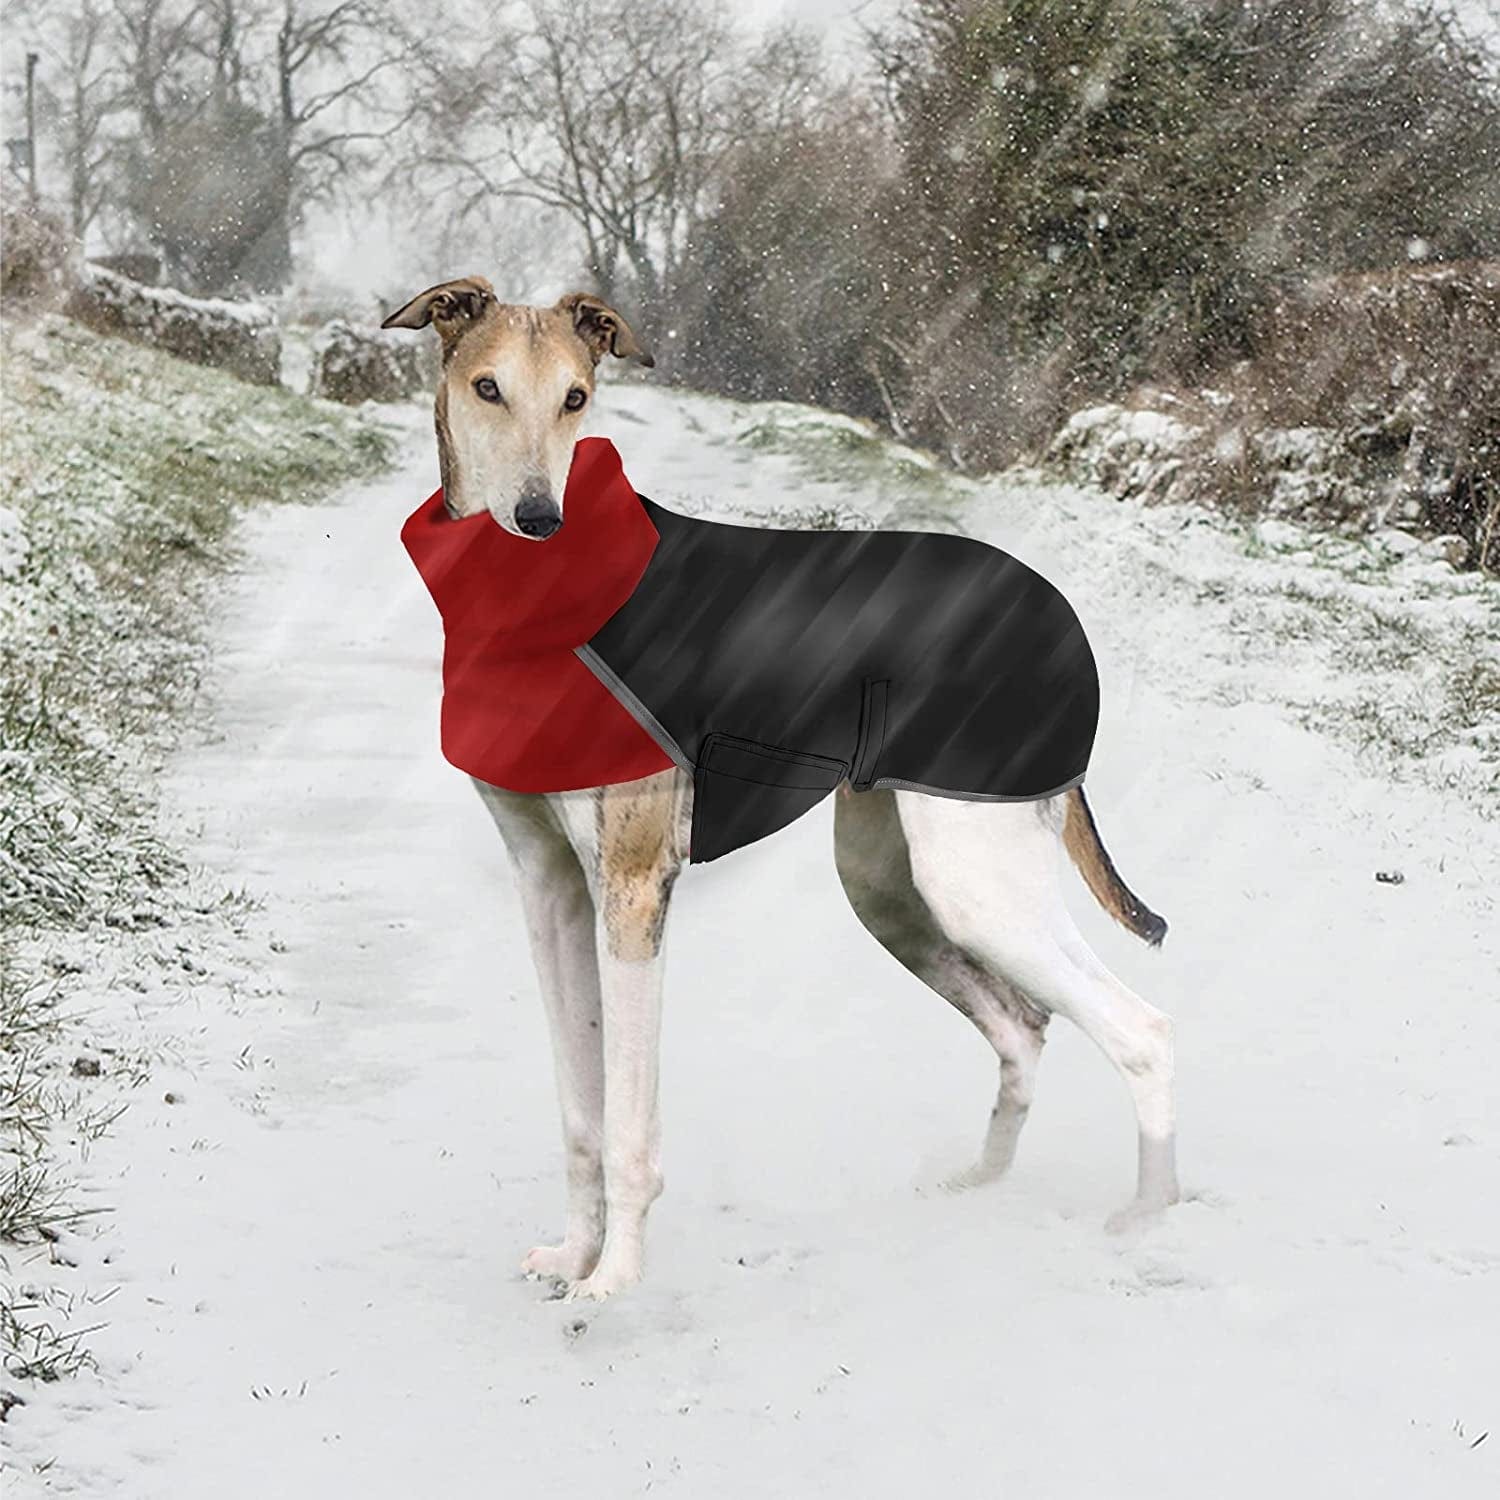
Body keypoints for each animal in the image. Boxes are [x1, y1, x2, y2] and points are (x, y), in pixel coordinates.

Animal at [381, 279, 1176, 1302]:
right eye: (487, 387)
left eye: (576, 397)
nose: (537, 516)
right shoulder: (550, 888)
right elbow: (581, 1110)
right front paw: (574, 1255)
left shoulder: (633, 892)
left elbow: (628, 1120)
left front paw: (614, 1283)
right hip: (889, 887)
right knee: (1023, 1028)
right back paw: (980, 1186)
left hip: (975, 882)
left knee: (1142, 1031)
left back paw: (1148, 1220)